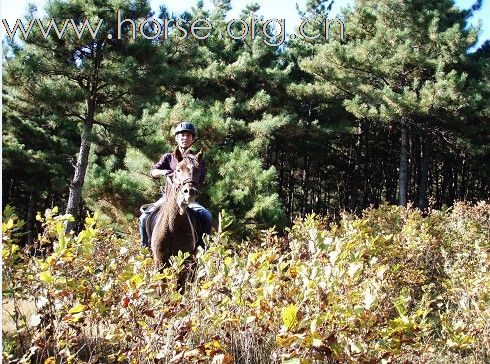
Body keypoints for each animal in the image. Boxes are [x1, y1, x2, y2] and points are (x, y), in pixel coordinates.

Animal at [149, 150, 203, 290]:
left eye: (198, 171)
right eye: (178, 169)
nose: (190, 192)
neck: (173, 226)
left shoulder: (183, 260)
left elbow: (179, 288)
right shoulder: (160, 260)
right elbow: (162, 286)